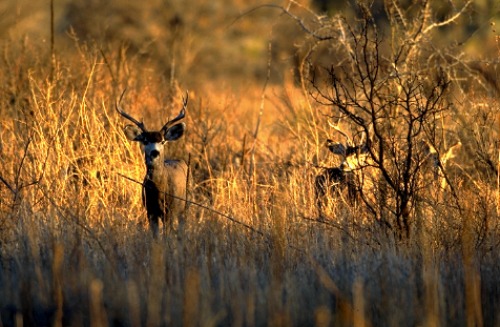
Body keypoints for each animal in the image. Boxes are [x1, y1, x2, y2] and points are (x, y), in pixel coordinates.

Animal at [117, 90, 189, 236]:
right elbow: (155, 235)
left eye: (163, 141)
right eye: (145, 141)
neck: (159, 191)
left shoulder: (170, 210)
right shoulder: (150, 211)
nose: (154, 153)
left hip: (183, 205)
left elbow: (168, 234)